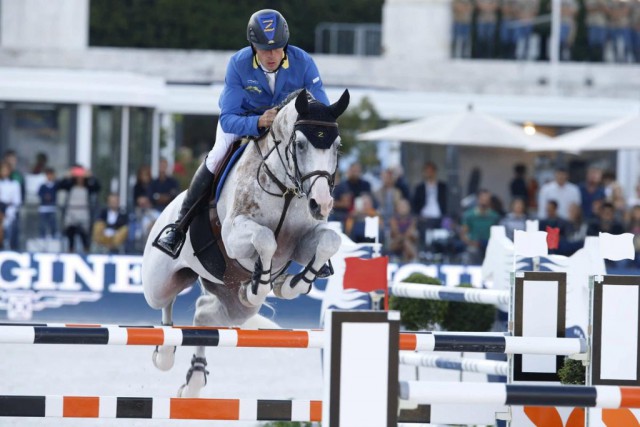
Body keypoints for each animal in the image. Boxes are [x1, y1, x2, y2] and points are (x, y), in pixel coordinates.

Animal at [142, 88, 350, 398]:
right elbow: (265, 239)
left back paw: (193, 384)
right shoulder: (233, 236)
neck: (286, 190)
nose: (321, 204)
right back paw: (165, 352)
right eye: (300, 144)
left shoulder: (300, 243)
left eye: (337, 146)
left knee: (205, 315)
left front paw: (289, 284)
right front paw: (260, 285)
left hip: (231, 304)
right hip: (158, 282)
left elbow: (329, 241)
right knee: (165, 303)